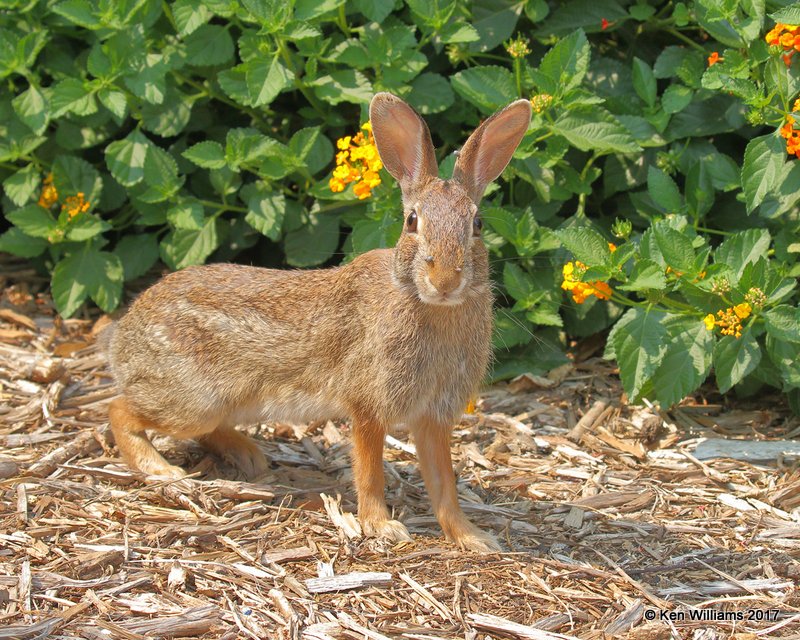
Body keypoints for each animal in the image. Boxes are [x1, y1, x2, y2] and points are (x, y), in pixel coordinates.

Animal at [106, 92, 532, 552]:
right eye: (412, 221)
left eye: (477, 224)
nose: (446, 280)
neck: (429, 305)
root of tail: (122, 342)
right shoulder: (368, 406)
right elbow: (370, 472)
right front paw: (380, 526)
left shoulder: (433, 415)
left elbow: (444, 485)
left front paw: (475, 538)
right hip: (193, 400)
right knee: (120, 410)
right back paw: (162, 469)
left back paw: (248, 456)